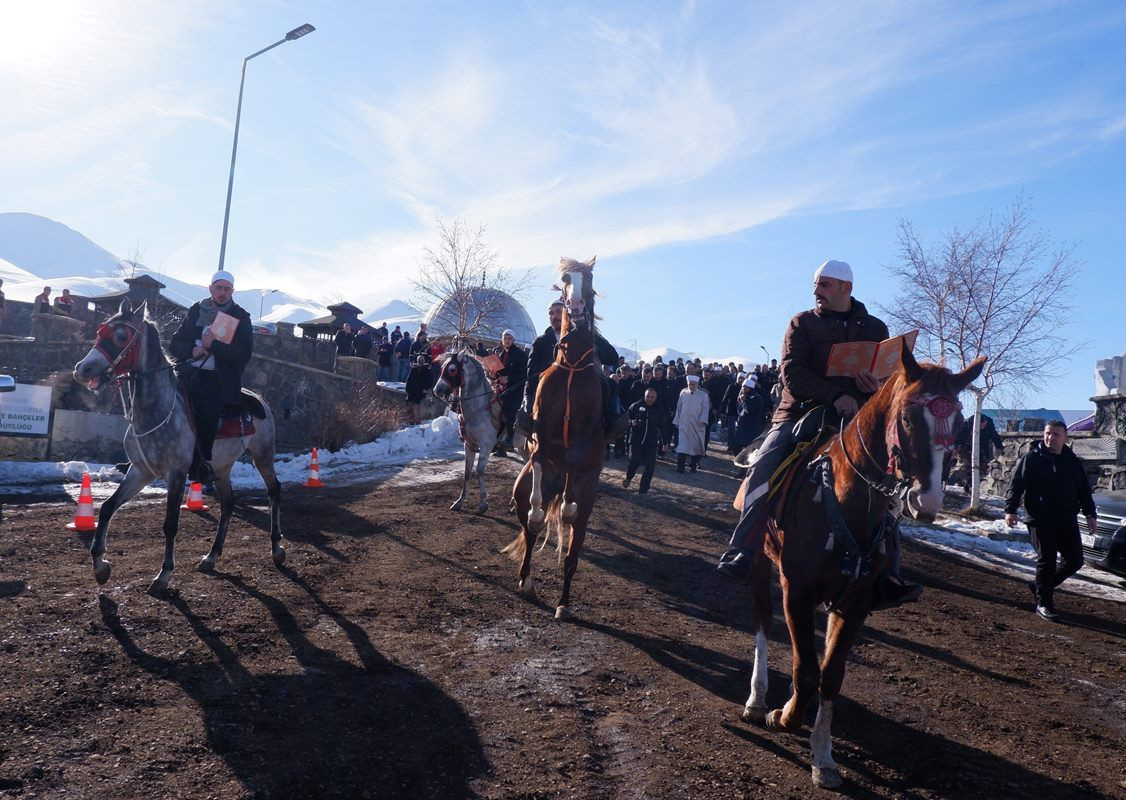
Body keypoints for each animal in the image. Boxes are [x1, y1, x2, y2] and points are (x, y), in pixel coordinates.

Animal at [72, 297, 283, 590]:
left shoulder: (176, 474)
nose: (82, 369)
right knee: (228, 504)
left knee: (274, 492)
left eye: (121, 336)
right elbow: (106, 508)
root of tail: (258, 398)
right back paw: (211, 556)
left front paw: (164, 575)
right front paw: (100, 566)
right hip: (222, 467)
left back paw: (276, 549)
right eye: (100, 331)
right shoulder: (141, 471)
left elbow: (170, 524)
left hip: (262, 456)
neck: (157, 410)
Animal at [430, 353, 502, 516]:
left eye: (452, 369)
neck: (479, 408)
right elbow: (467, 473)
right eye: (442, 367)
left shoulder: (486, 445)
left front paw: (483, 503)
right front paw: (459, 502)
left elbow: (479, 471)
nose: (437, 390)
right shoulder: (469, 445)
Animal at [504, 256, 603, 621]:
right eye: (565, 280)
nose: (575, 307)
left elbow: (575, 466)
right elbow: (537, 460)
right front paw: (537, 509)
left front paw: (568, 504)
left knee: (572, 552)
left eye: (589, 279)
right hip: (521, 492)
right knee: (530, 531)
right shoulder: (542, 430)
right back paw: (526, 581)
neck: (571, 365)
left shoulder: (585, 437)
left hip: (587, 505)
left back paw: (563, 603)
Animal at [743, 342, 981, 788]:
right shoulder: (797, 592)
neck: (843, 496)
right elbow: (806, 672)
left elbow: (830, 676)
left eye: (959, 423)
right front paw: (784, 716)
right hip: (760, 565)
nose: (927, 501)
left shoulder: (855, 604)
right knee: (763, 625)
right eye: (907, 417)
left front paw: (823, 757)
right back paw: (756, 699)